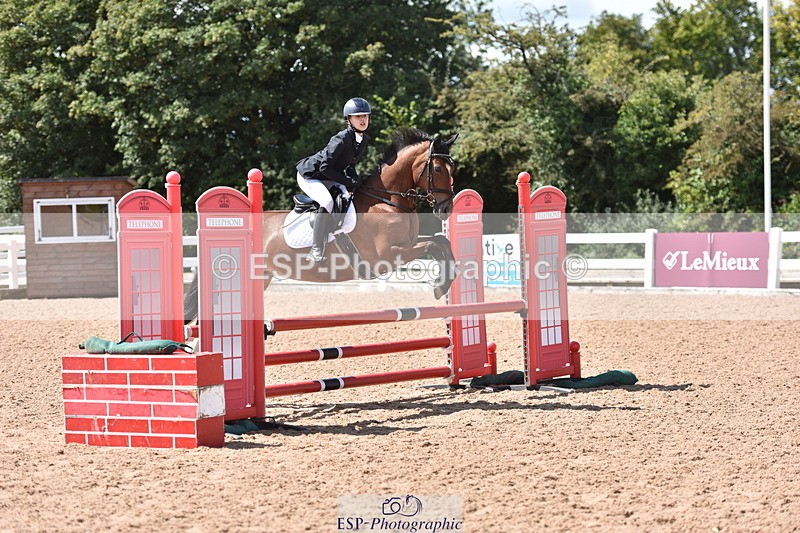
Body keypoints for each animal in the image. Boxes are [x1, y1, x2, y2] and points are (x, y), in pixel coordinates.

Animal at [185, 128, 458, 321]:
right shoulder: (384, 257)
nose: (446, 209)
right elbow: (433, 246)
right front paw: (439, 286)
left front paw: (445, 281)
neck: (386, 201)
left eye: (452, 168)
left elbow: (441, 241)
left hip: (262, 277)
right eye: (436, 169)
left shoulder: (408, 243)